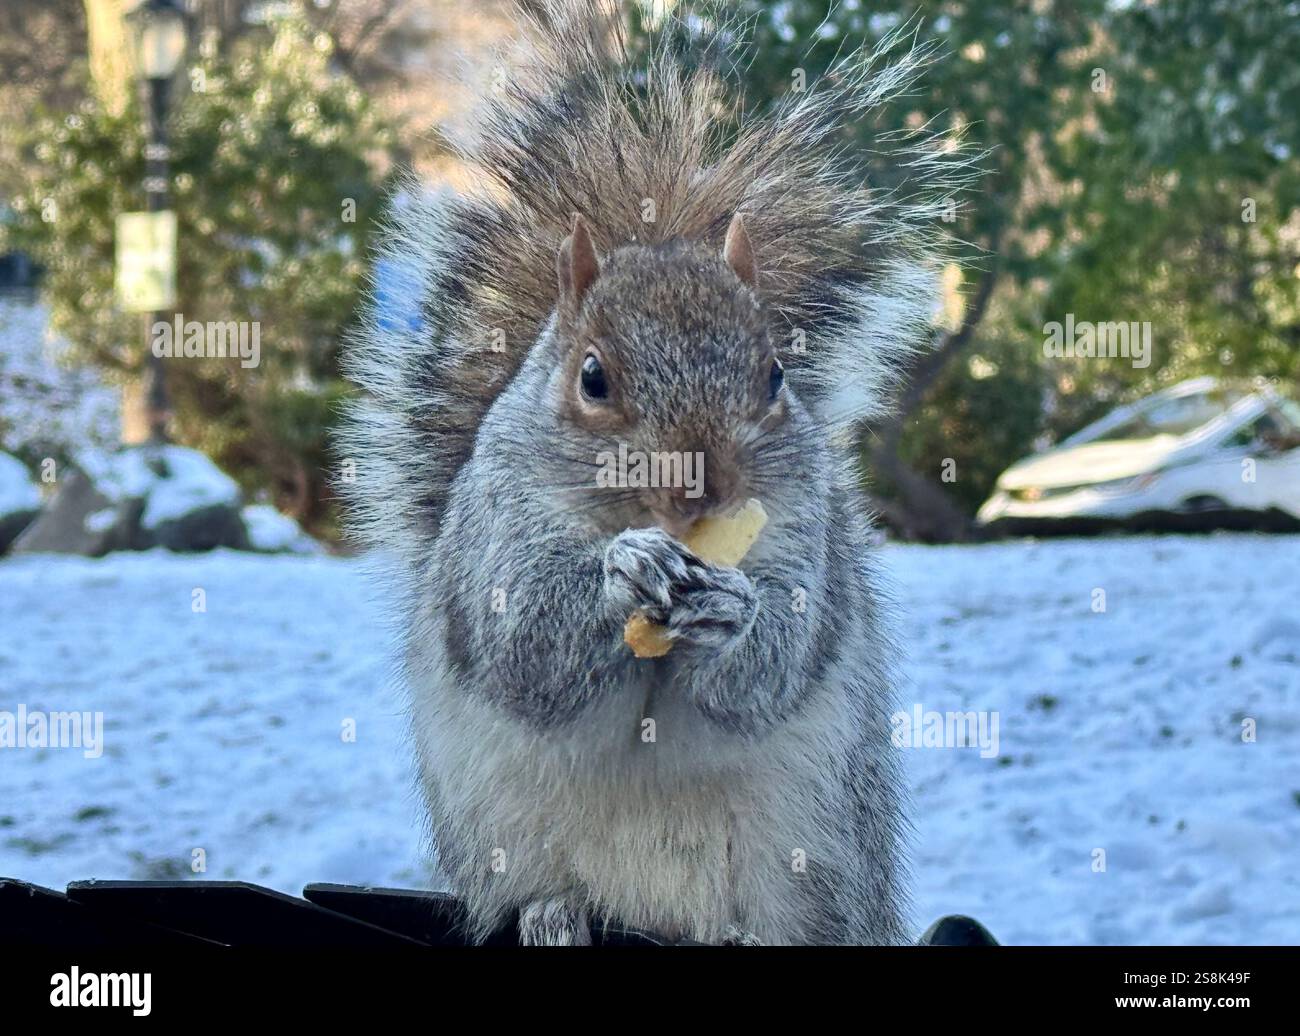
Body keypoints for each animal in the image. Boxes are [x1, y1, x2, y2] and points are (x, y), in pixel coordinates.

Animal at [339, 0, 961, 945]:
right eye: (592, 378)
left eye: (774, 375)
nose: (701, 487)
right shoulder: (495, 536)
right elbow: (528, 652)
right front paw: (623, 569)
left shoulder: (803, 537)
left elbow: (771, 669)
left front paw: (731, 610)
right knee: (543, 888)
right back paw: (553, 914)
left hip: (817, 862)